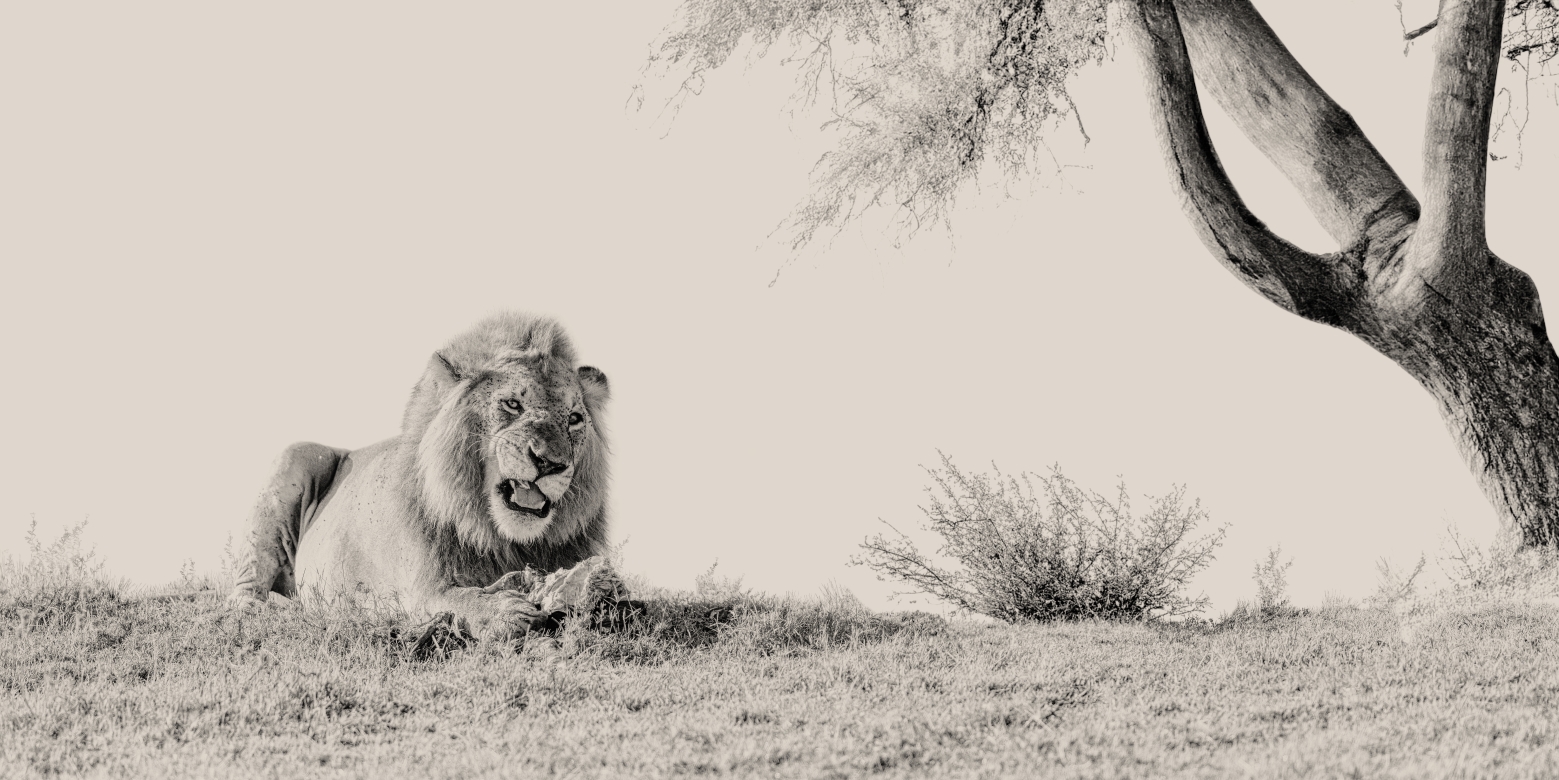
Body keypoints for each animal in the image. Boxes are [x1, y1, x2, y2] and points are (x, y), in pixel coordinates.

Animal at [227, 312, 611, 639]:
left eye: (574, 419)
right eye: (512, 404)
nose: (550, 463)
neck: (502, 540)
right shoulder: (417, 590)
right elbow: (458, 599)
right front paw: (505, 612)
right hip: (294, 458)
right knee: (243, 594)